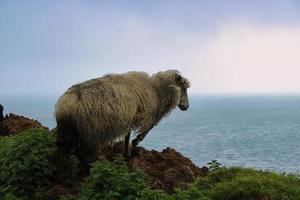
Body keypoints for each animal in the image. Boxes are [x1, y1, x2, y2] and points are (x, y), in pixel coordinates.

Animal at [54, 69, 190, 163]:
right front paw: (133, 144)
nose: (186, 107)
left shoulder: (130, 117)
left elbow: (127, 135)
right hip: (88, 130)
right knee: (81, 153)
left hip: (69, 131)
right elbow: (145, 131)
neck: (158, 90)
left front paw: (126, 153)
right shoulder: (146, 114)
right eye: (183, 88)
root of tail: (64, 104)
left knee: (63, 151)